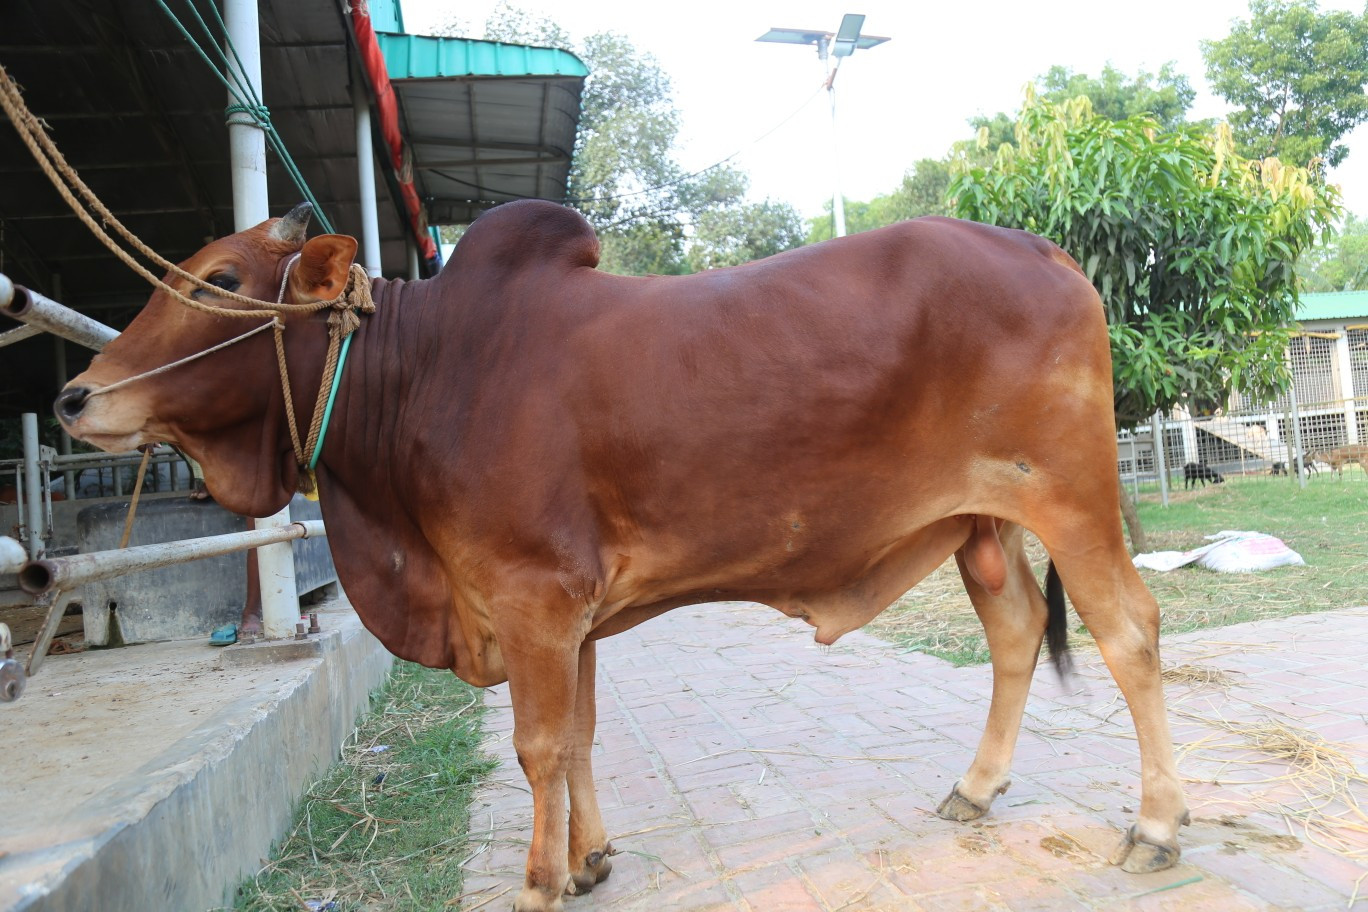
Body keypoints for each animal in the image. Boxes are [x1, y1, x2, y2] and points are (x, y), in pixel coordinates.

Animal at [55, 201, 1189, 911]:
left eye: (222, 279)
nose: (74, 397)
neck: (423, 372)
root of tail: (1044, 250)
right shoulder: (573, 612)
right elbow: (582, 737)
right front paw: (590, 858)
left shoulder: (532, 596)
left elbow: (539, 746)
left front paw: (537, 881)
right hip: (980, 529)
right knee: (1014, 636)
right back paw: (977, 787)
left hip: (1071, 498)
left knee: (1131, 633)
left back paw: (1157, 825)